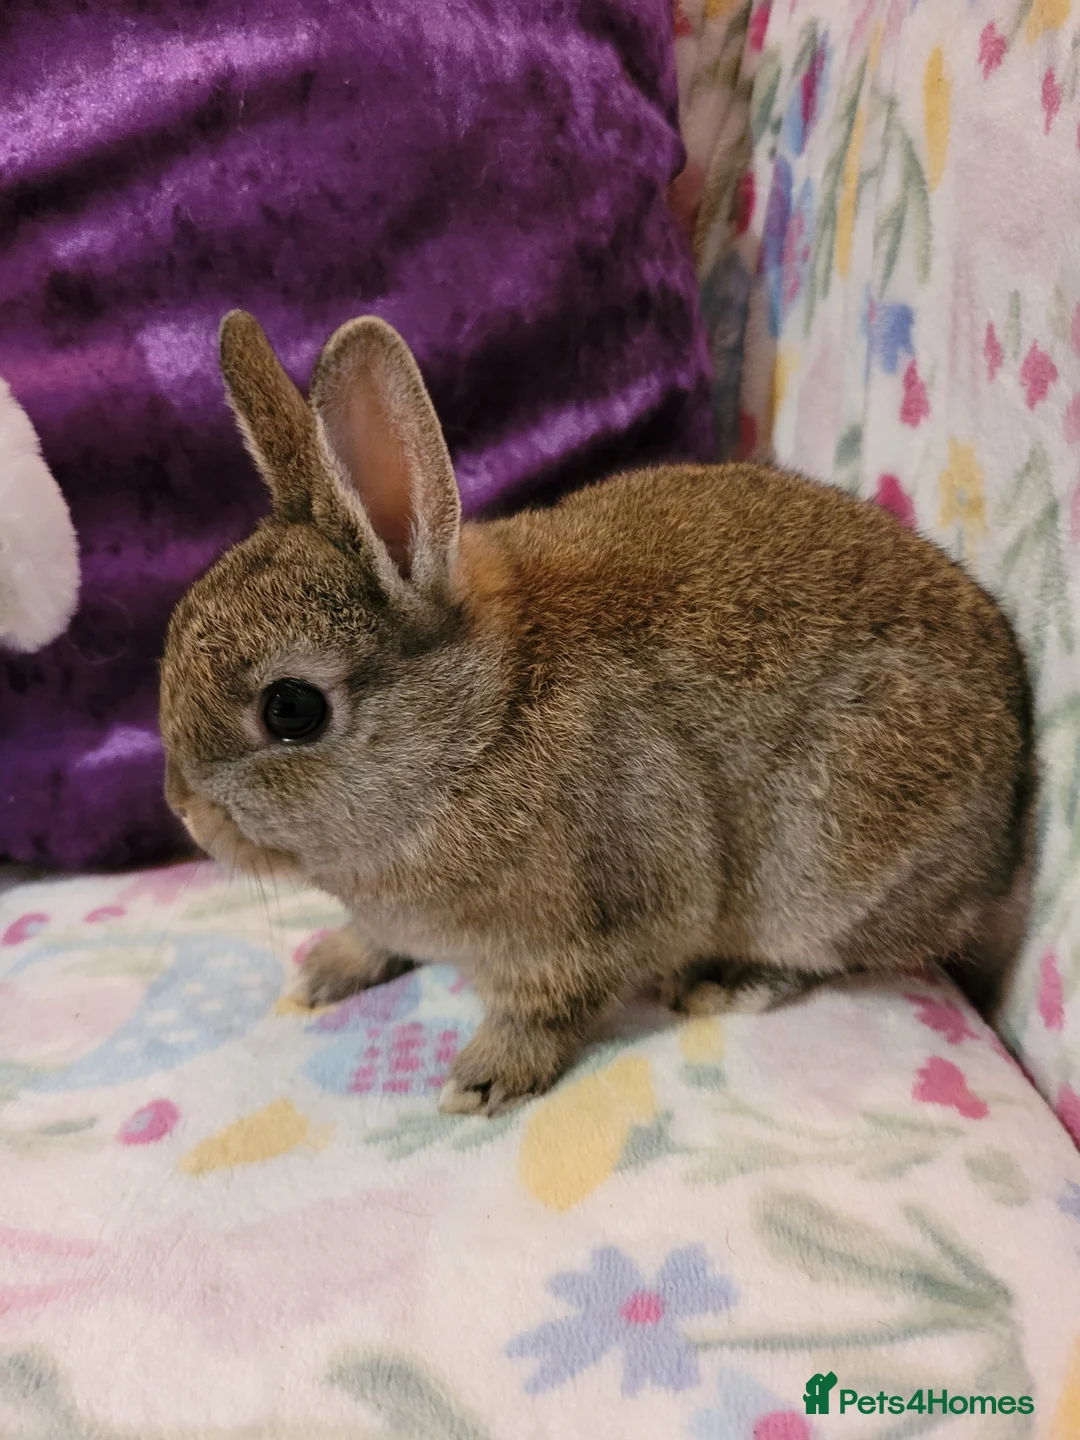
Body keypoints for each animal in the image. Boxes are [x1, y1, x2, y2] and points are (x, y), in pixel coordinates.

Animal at [159, 310, 1035, 1117]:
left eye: (292, 710)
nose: (187, 813)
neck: (479, 729)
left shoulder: (605, 912)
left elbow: (553, 1007)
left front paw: (483, 1078)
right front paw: (327, 968)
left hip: (828, 864)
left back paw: (725, 980)